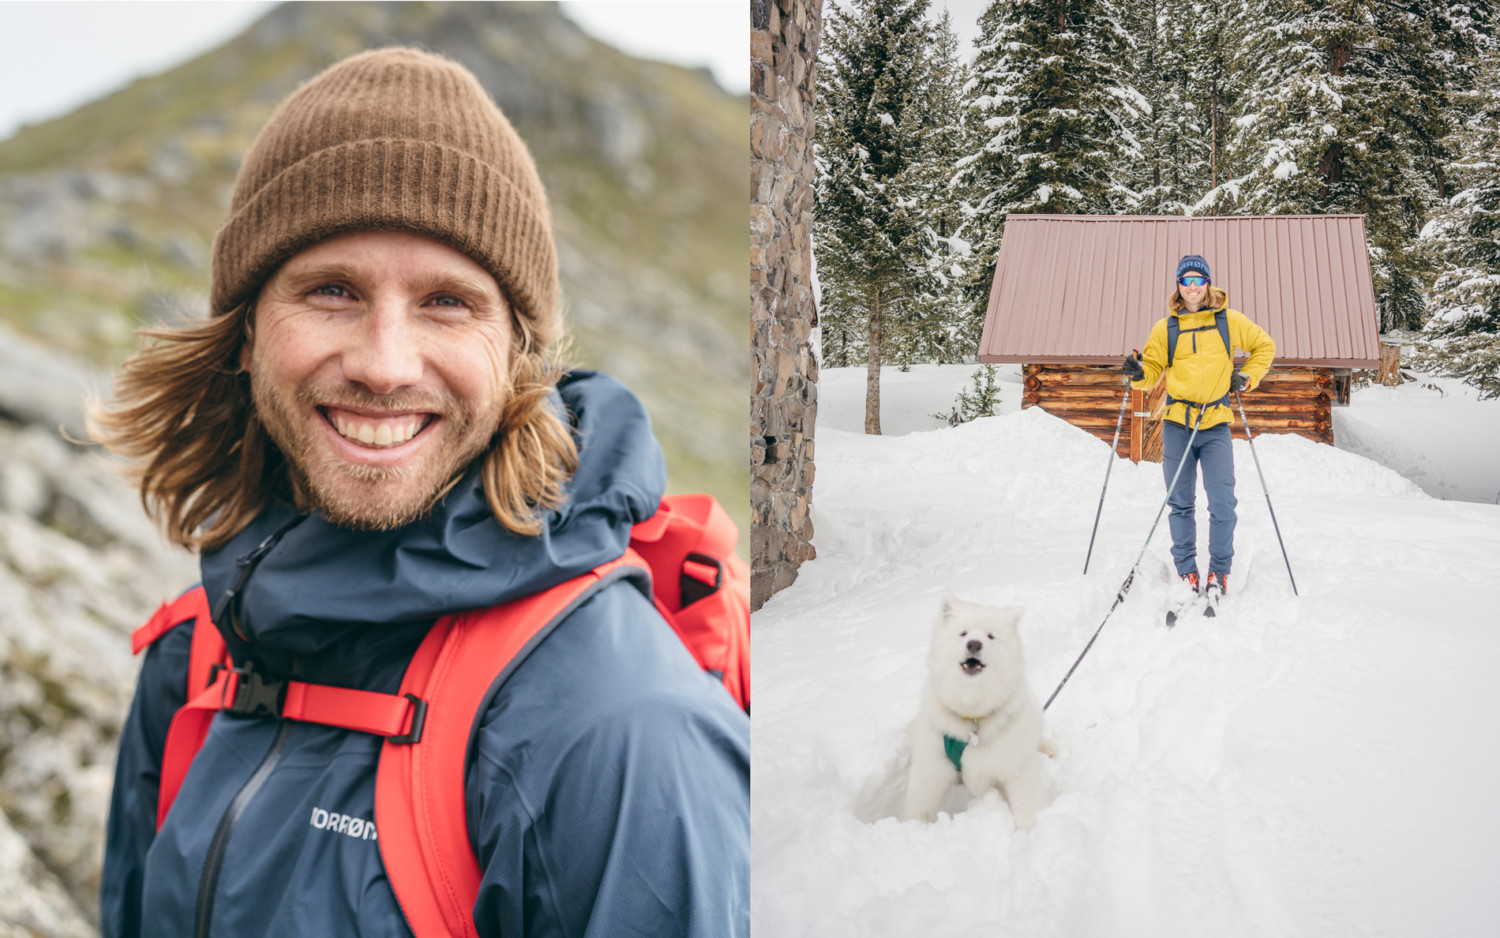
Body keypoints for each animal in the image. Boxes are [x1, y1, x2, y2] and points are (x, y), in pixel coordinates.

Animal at [900, 591, 1044, 828]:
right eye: (963, 633)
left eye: (991, 636)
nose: (974, 644)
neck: (972, 716)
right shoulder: (931, 770)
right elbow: (919, 808)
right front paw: (914, 828)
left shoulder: (1016, 769)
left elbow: (1026, 808)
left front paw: (1030, 832)